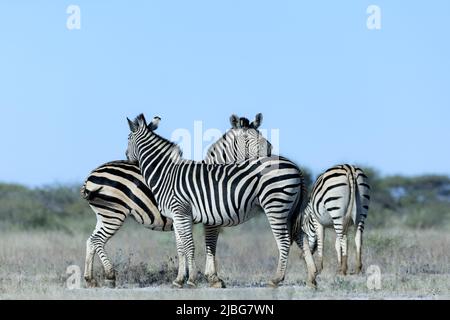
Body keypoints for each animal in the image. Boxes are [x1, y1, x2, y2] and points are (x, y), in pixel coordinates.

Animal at [80, 113, 270, 288]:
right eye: (248, 139)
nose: (269, 150)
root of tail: (91, 174)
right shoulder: (211, 219)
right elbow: (210, 245)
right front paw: (212, 278)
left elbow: (184, 248)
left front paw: (186, 278)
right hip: (113, 213)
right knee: (97, 240)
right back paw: (109, 276)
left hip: (103, 215)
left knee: (91, 241)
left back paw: (90, 279)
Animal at [125, 114, 318, 288]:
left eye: (127, 138)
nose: (126, 155)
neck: (165, 173)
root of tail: (296, 168)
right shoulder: (178, 217)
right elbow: (182, 247)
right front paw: (180, 280)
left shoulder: (183, 213)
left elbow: (192, 245)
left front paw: (194, 279)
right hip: (291, 209)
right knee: (301, 236)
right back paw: (311, 278)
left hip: (276, 205)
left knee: (285, 240)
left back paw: (276, 279)